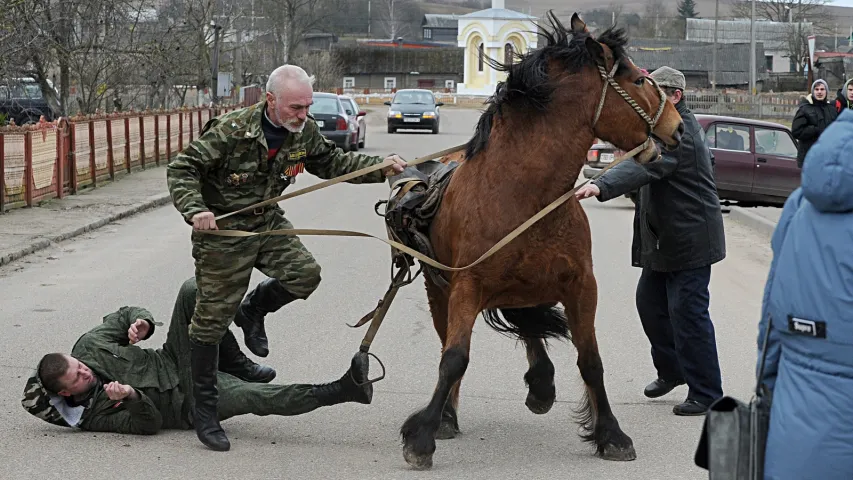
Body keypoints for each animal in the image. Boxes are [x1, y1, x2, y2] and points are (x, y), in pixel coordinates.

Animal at [400, 13, 684, 470]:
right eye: (639, 79)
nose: (676, 127)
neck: (522, 193)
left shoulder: (581, 286)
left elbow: (590, 361)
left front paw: (611, 434)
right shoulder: (466, 287)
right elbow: (453, 359)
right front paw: (423, 435)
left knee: (528, 325)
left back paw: (541, 384)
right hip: (440, 289)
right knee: (455, 341)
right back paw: (448, 415)